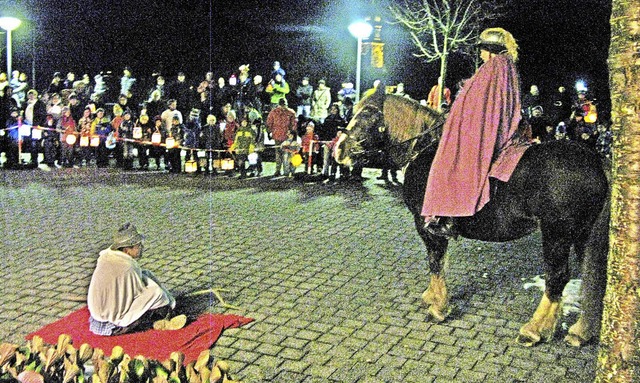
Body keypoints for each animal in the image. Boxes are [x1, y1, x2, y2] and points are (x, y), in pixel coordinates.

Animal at [336, 88, 608, 348]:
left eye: (368, 114)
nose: (339, 150)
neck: (424, 151)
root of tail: (596, 165)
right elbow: (440, 261)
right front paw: (433, 296)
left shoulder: (426, 224)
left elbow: (435, 261)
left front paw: (439, 306)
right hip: (583, 235)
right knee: (591, 278)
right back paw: (581, 331)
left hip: (557, 234)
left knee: (557, 277)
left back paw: (534, 329)